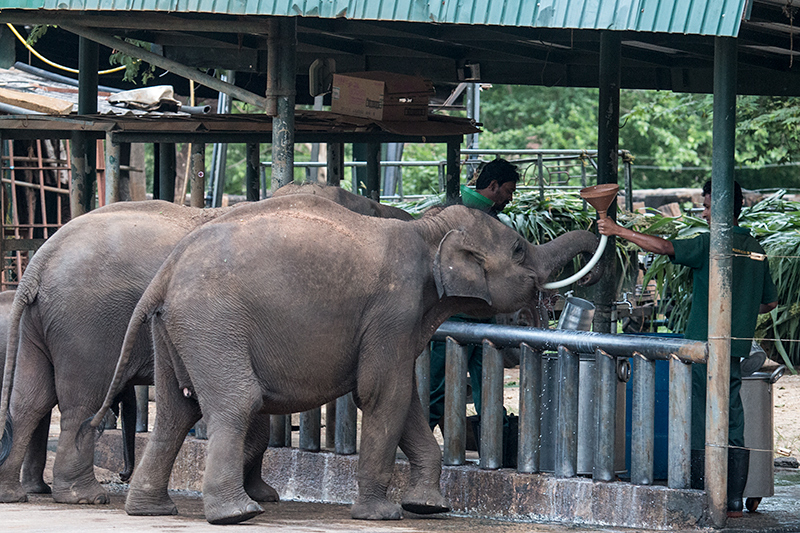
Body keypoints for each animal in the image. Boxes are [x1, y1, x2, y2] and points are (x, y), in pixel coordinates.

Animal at [90, 192, 596, 524]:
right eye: (518, 249)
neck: (427, 229)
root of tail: (166, 272)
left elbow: (405, 401)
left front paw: (428, 508)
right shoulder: (393, 309)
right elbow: (383, 394)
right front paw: (383, 515)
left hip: (175, 330)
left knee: (176, 410)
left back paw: (152, 510)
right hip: (212, 324)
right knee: (235, 402)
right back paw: (237, 514)